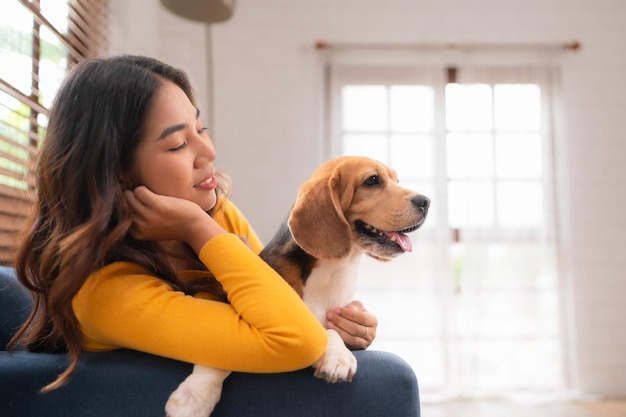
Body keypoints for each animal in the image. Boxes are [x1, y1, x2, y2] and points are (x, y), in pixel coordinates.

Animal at [166, 156, 428, 416]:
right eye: (372, 180)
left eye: (396, 181)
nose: (426, 202)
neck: (334, 270)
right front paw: (194, 396)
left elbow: (332, 330)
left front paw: (338, 356)